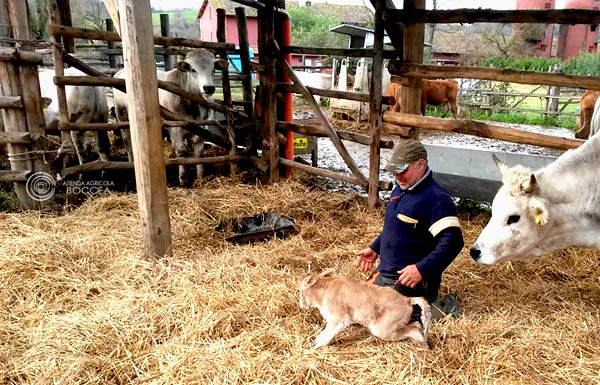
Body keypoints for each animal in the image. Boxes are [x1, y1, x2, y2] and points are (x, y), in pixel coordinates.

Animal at [112, 48, 223, 184]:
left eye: (213, 70)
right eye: (193, 70)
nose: (208, 88)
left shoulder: (202, 129)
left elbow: (199, 153)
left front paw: (200, 178)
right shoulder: (175, 129)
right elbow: (181, 151)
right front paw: (183, 178)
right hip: (121, 113)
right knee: (127, 141)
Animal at [296, 268, 432, 348]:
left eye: (300, 291)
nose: (301, 305)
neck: (324, 290)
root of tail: (407, 300)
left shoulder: (338, 318)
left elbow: (327, 333)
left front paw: (315, 345)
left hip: (382, 329)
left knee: (415, 328)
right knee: (416, 325)